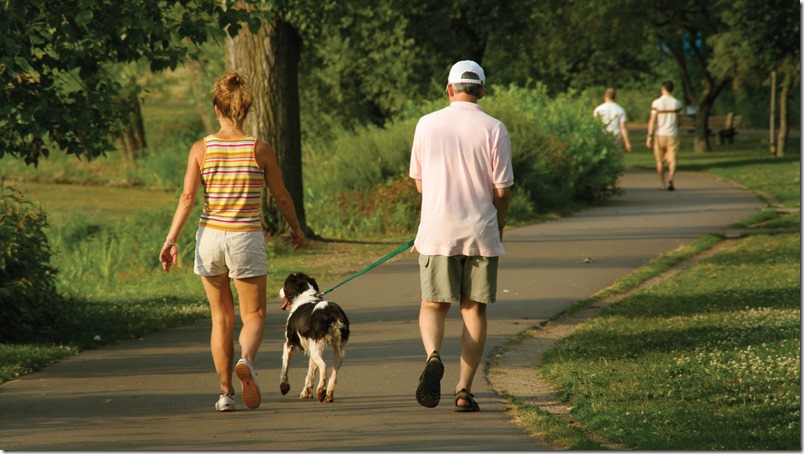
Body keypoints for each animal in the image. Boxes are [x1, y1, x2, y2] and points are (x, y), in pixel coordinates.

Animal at [280, 272, 348, 402]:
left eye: (285, 284)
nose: (279, 291)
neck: (306, 295)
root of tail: (332, 312)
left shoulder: (289, 343)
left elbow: (284, 368)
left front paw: (284, 387)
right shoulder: (310, 347)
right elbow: (310, 372)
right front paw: (306, 392)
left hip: (317, 348)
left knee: (324, 366)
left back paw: (321, 390)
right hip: (337, 348)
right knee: (334, 371)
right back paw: (328, 394)